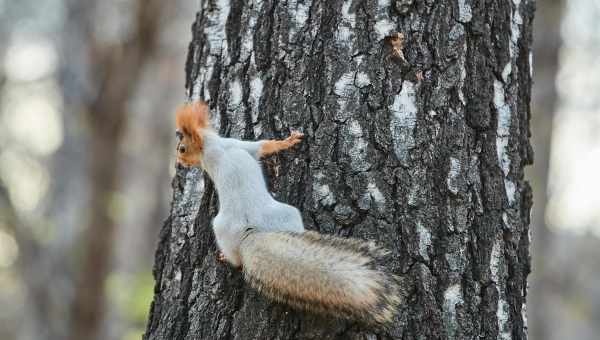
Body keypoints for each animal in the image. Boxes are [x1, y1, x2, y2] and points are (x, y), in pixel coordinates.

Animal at [172, 101, 398, 326]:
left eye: (182, 148)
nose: (179, 163)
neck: (210, 148)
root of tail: (249, 234)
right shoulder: (236, 145)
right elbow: (262, 147)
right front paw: (286, 142)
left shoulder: (231, 145)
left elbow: (261, 147)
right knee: (237, 260)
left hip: (271, 218)